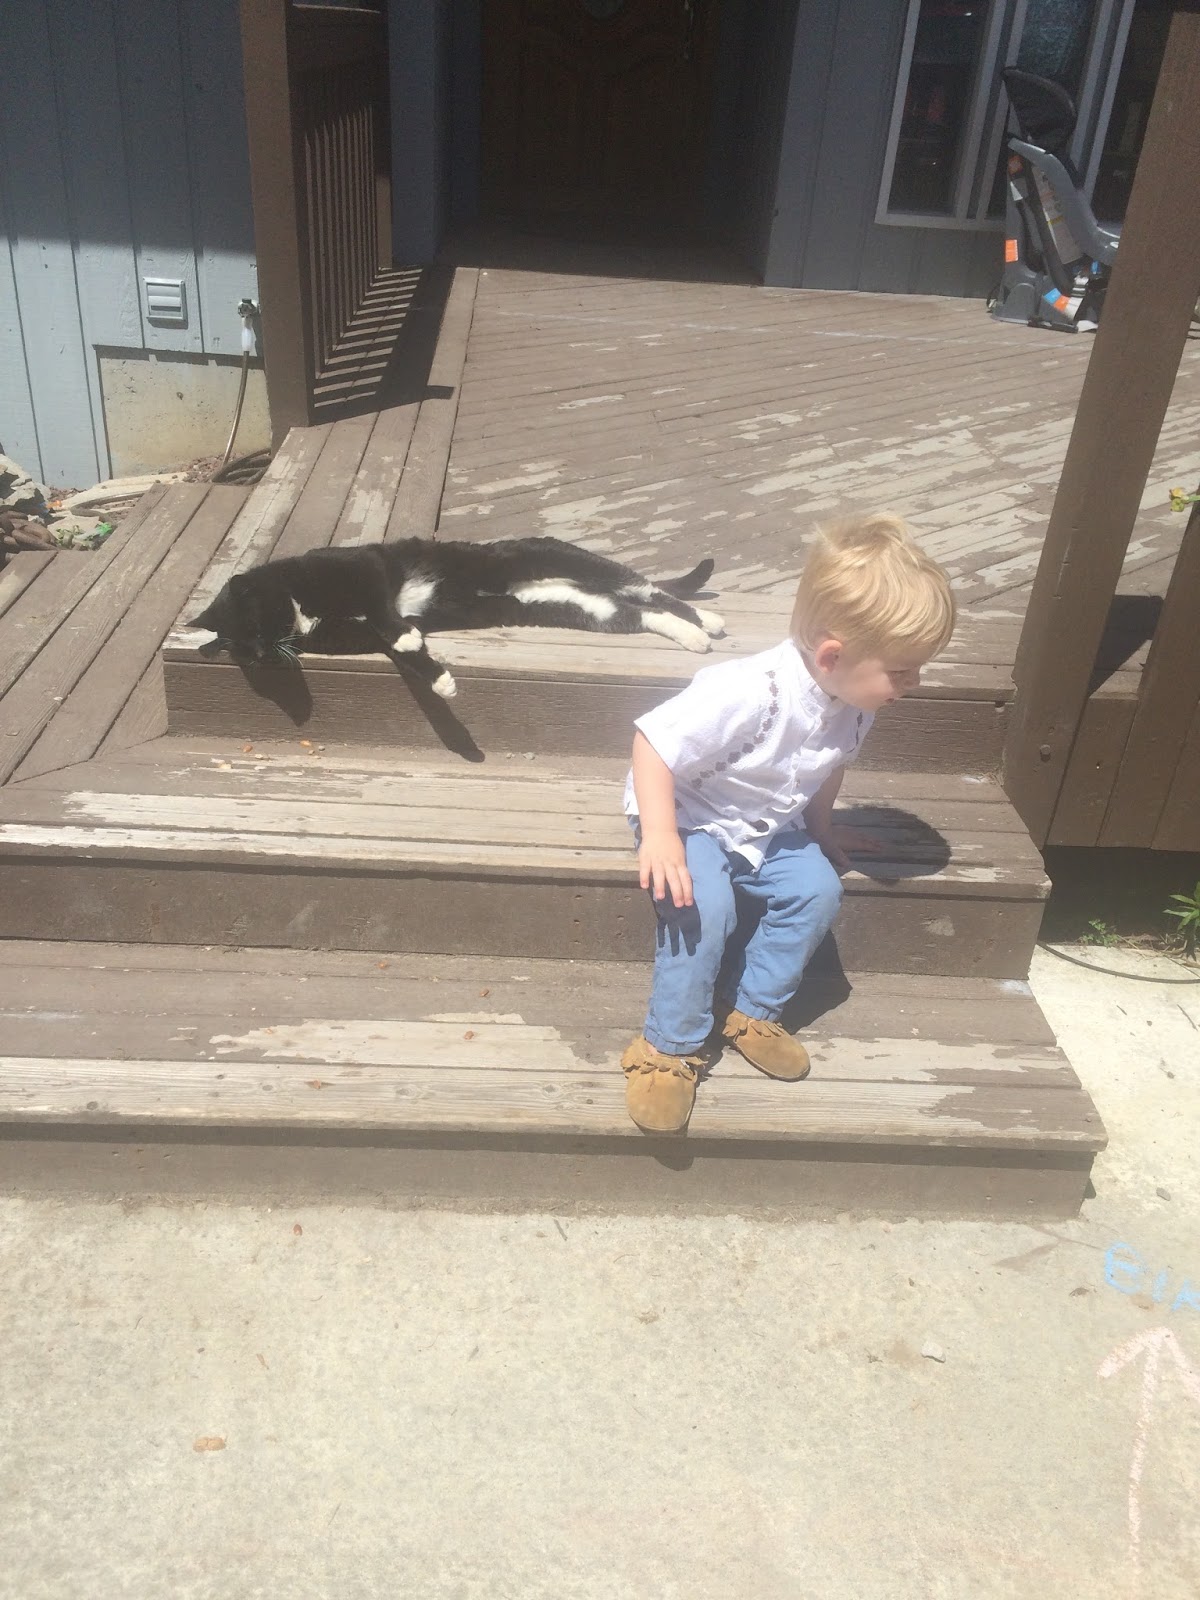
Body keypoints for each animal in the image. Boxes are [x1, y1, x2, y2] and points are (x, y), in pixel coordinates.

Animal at [189, 535, 724, 699]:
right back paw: (692, 635)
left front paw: (408, 639)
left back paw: (708, 623)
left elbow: (385, 613)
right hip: (579, 607)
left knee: (648, 587)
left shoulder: (365, 566)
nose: (263, 654)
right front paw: (440, 680)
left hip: (557, 556)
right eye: (246, 650)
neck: (303, 609)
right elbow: (395, 645)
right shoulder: (351, 636)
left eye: (256, 627)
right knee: (635, 611)